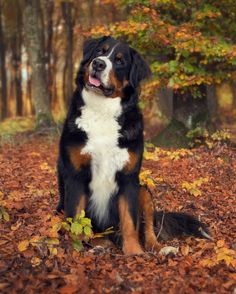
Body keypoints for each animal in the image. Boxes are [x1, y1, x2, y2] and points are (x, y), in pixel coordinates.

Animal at [56, 35, 208, 254]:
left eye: (120, 61)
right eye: (99, 51)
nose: (99, 64)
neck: (102, 110)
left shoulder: (128, 178)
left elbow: (129, 220)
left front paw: (134, 252)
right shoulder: (76, 176)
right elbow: (76, 219)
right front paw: (75, 250)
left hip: (143, 191)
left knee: (147, 228)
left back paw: (159, 248)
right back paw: (100, 244)